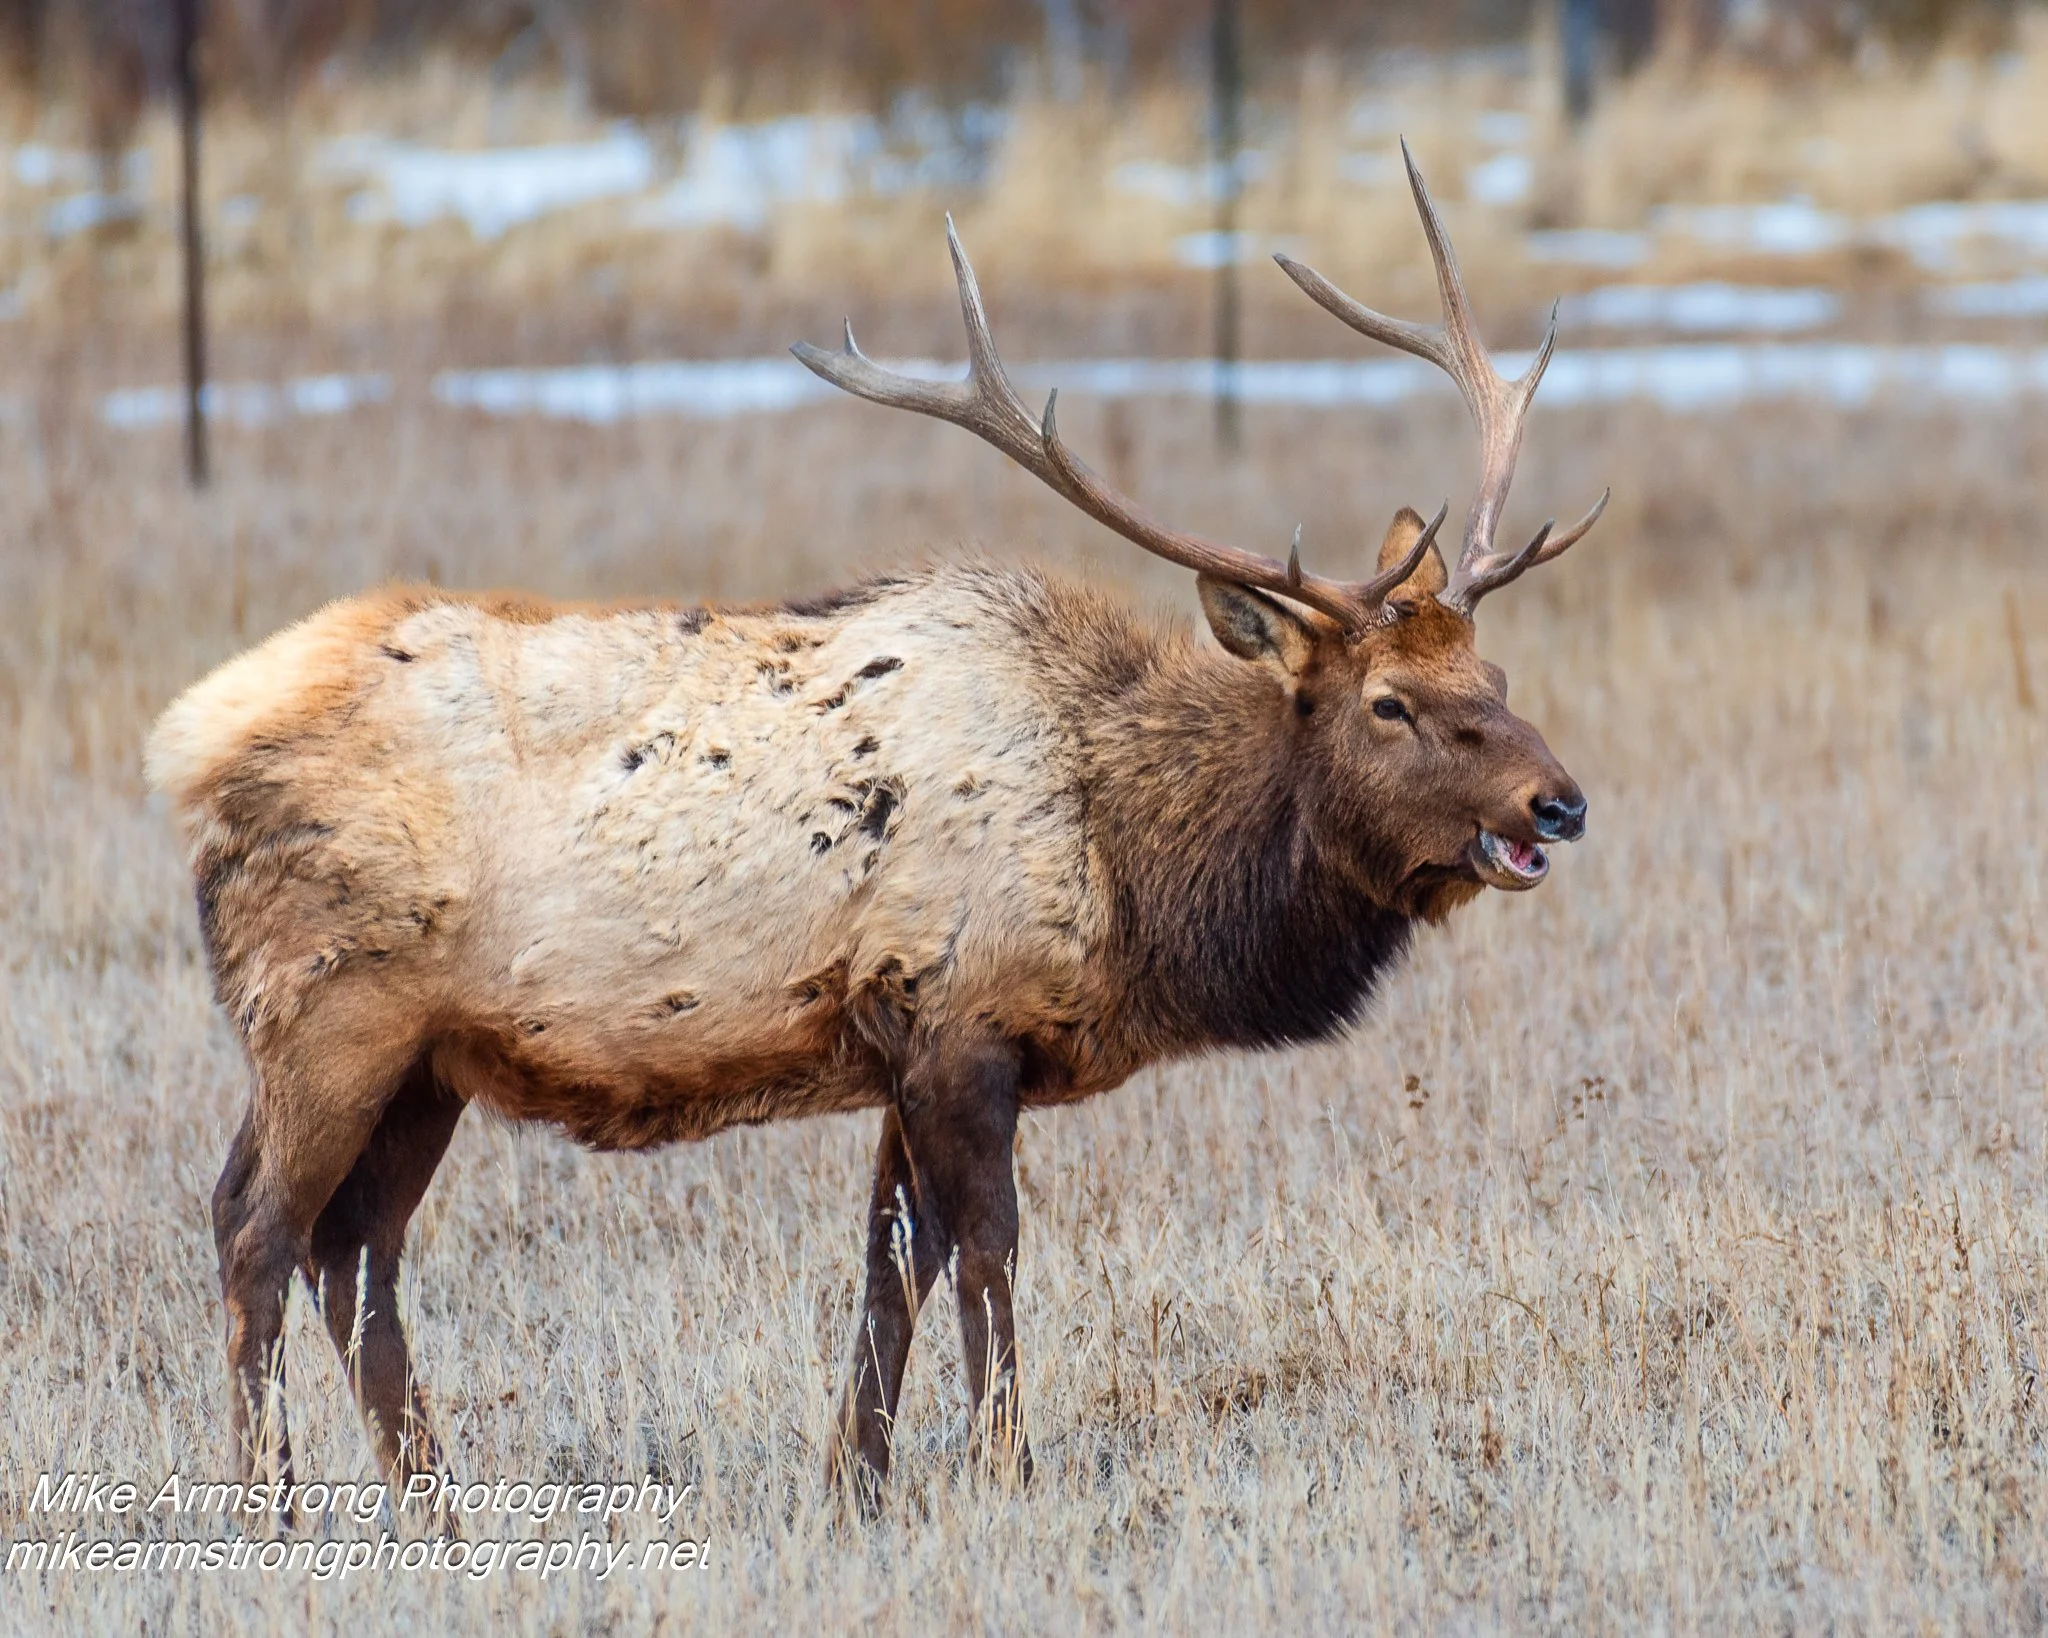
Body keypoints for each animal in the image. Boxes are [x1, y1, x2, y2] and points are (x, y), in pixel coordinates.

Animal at [146, 144, 1604, 1511]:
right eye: (1388, 703)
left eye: (1496, 675)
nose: (1560, 800)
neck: (1130, 866)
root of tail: (187, 744)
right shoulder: (958, 1019)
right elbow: (987, 1253)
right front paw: (1005, 1467)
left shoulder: (900, 1036)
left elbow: (888, 1270)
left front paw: (858, 1482)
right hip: (327, 1008)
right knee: (253, 1227)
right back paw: (274, 1509)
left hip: (427, 1056)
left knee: (355, 1251)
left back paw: (435, 1510)